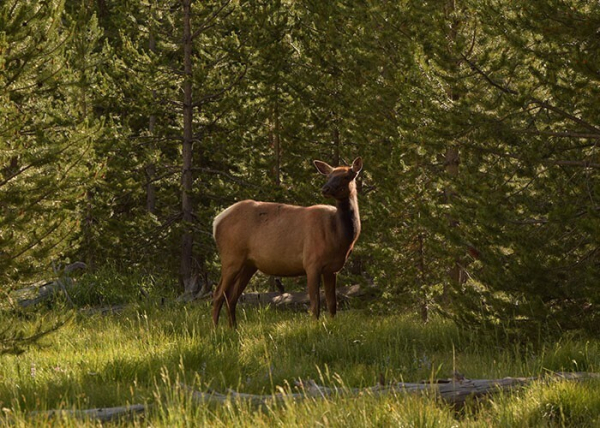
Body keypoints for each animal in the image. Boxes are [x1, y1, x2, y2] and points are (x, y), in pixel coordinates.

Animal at [213, 157, 364, 328]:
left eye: (346, 176)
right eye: (328, 176)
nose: (325, 189)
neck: (338, 236)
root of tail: (216, 221)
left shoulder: (332, 269)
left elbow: (332, 304)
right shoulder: (312, 262)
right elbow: (315, 304)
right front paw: (314, 328)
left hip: (248, 264)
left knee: (231, 297)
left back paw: (233, 329)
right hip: (231, 256)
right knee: (218, 294)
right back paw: (215, 329)